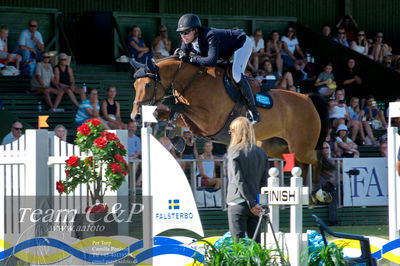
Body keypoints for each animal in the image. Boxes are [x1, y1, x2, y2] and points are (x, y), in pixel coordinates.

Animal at [130, 57, 330, 202]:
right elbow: (167, 113)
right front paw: (173, 137)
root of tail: (307, 98)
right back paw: (305, 192)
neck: (192, 81)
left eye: (148, 84)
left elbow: (177, 108)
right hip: (275, 147)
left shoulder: (209, 121)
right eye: (134, 85)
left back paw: (318, 193)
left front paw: (176, 137)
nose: (135, 116)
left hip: (301, 146)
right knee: (301, 164)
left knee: (316, 158)